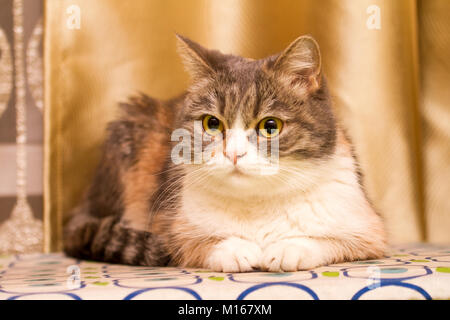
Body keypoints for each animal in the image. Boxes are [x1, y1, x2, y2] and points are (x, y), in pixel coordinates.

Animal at [64, 33, 386, 272]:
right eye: (212, 123)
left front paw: (290, 246)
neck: (257, 204)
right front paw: (234, 248)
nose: (234, 154)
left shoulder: (369, 229)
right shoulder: (171, 225)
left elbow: (334, 241)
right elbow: (194, 243)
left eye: (270, 126)